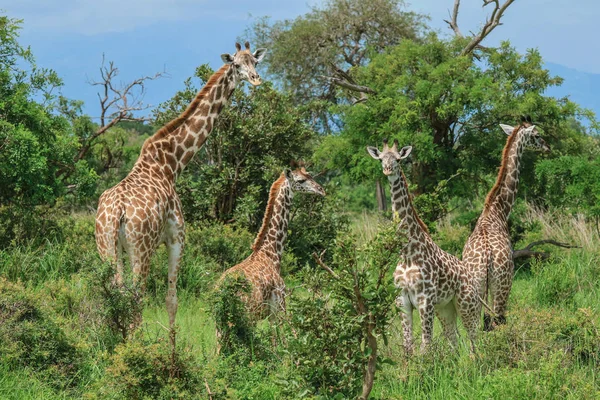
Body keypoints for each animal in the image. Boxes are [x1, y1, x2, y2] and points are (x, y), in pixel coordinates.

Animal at [95, 42, 268, 340]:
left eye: (255, 62)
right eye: (236, 65)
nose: (256, 80)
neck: (171, 163)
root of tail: (117, 212)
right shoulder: (177, 237)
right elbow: (171, 299)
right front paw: (171, 346)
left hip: (105, 247)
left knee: (114, 294)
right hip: (141, 249)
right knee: (136, 297)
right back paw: (135, 345)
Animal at [218, 167, 326, 320]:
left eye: (310, 175)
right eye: (301, 180)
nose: (321, 190)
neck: (272, 252)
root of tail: (221, 290)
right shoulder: (279, 309)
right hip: (247, 314)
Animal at [366, 141, 478, 354]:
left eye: (398, 159)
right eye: (381, 159)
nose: (388, 170)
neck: (407, 252)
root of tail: (471, 275)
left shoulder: (425, 299)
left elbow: (426, 345)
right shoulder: (402, 300)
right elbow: (408, 346)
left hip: (466, 303)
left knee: (475, 337)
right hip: (446, 308)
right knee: (454, 339)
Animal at [462, 122, 552, 332]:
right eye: (537, 135)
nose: (547, 147)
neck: (498, 211)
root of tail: (487, 259)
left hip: (477, 288)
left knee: (476, 326)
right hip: (503, 285)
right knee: (497, 320)